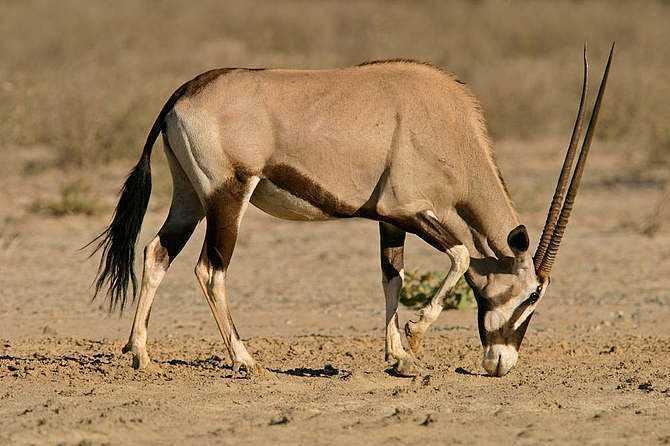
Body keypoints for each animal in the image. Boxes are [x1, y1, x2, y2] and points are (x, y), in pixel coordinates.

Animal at [89, 44, 616, 376]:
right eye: (532, 296)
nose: (501, 365)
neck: (446, 125)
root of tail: (182, 94)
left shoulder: (388, 220)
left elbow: (392, 277)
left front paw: (399, 358)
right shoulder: (407, 210)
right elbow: (462, 254)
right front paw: (415, 336)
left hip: (190, 197)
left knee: (157, 253)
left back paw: (140, 355)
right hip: (227, 195)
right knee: (209, 268)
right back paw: (245, 360)